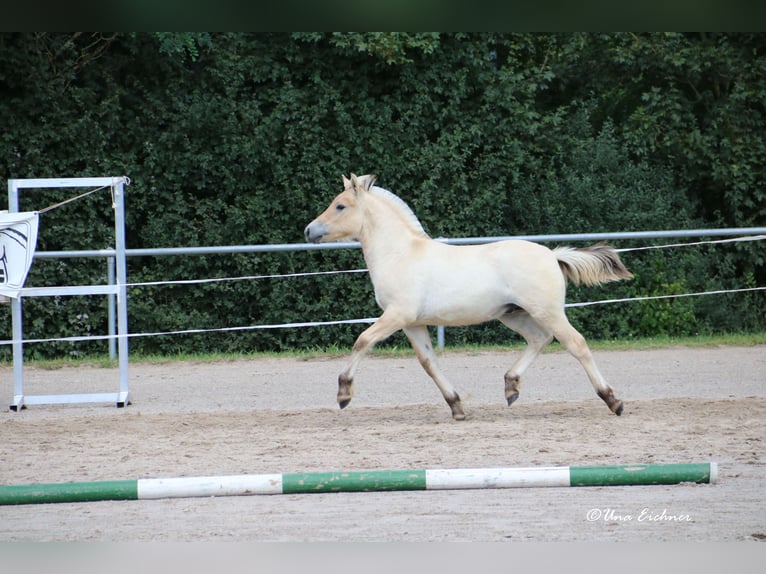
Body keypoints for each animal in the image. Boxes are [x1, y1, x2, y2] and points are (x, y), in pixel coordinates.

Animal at [304, 173, 632, 420]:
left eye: (340, 206)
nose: (309, 230)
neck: (400, 255)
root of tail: (552, 255)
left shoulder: (397, 315)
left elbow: (362, 341)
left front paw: (343, 394)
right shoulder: (413, 323)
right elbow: (429, 362)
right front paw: (457, 406)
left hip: (547, 312)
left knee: (576, 344)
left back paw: (613, 401)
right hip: (515, 314)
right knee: (539, 339)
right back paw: (511, 387)